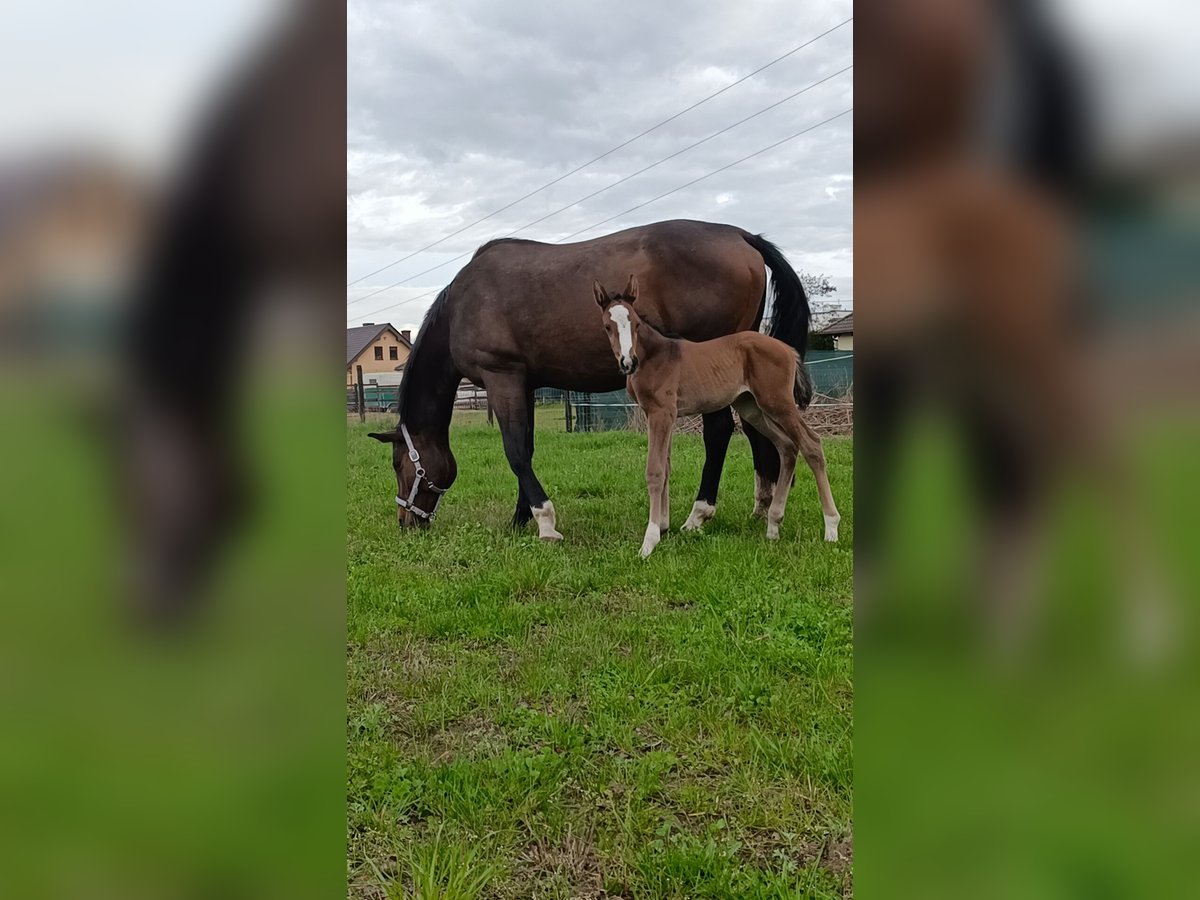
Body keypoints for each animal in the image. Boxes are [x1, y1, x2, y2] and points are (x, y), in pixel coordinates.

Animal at [592, 277, 840, 556]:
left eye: (635, 323)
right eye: (607, 327)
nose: (628, 362)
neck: (655, 355)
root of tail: (788, 349)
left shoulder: (662, 412)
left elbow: (655, 471)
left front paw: (649, 540)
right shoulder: (659, 415)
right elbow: (666, 468)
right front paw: (664, 527)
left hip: (778, 403)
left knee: (811, 445)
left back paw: (831, 528)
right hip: (752, 407)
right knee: (787, 446)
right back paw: (773, 525)